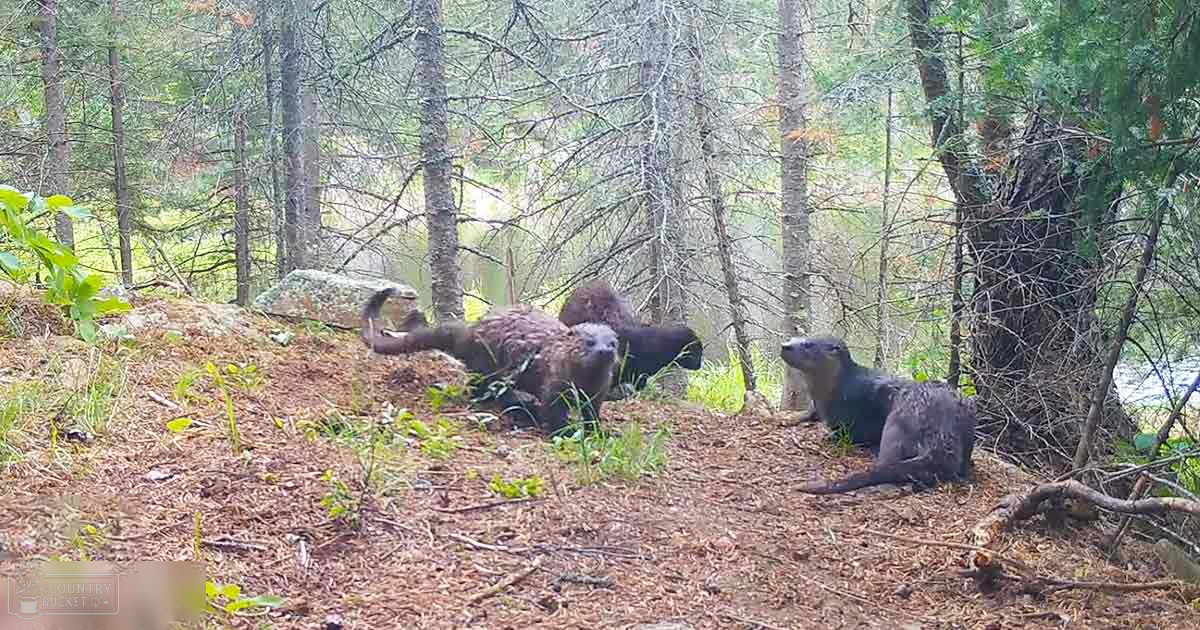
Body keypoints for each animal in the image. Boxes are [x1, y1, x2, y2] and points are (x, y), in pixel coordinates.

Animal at [362, 288, 619, 433]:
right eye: (589, 342)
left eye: (612, 342)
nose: (604, 351)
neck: (583, 382)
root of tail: (472, 331)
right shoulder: (554, 386)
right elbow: (554, 414)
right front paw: (565, 432)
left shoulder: (598, 393)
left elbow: (592, 415)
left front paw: (601, 432)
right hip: (486, 366)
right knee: (479, 387)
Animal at [780, 335, 909, 449]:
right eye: (791, 338)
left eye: (808, 344)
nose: (785, 346)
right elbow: (811, 412)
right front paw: (792, 418)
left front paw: (832, 436)